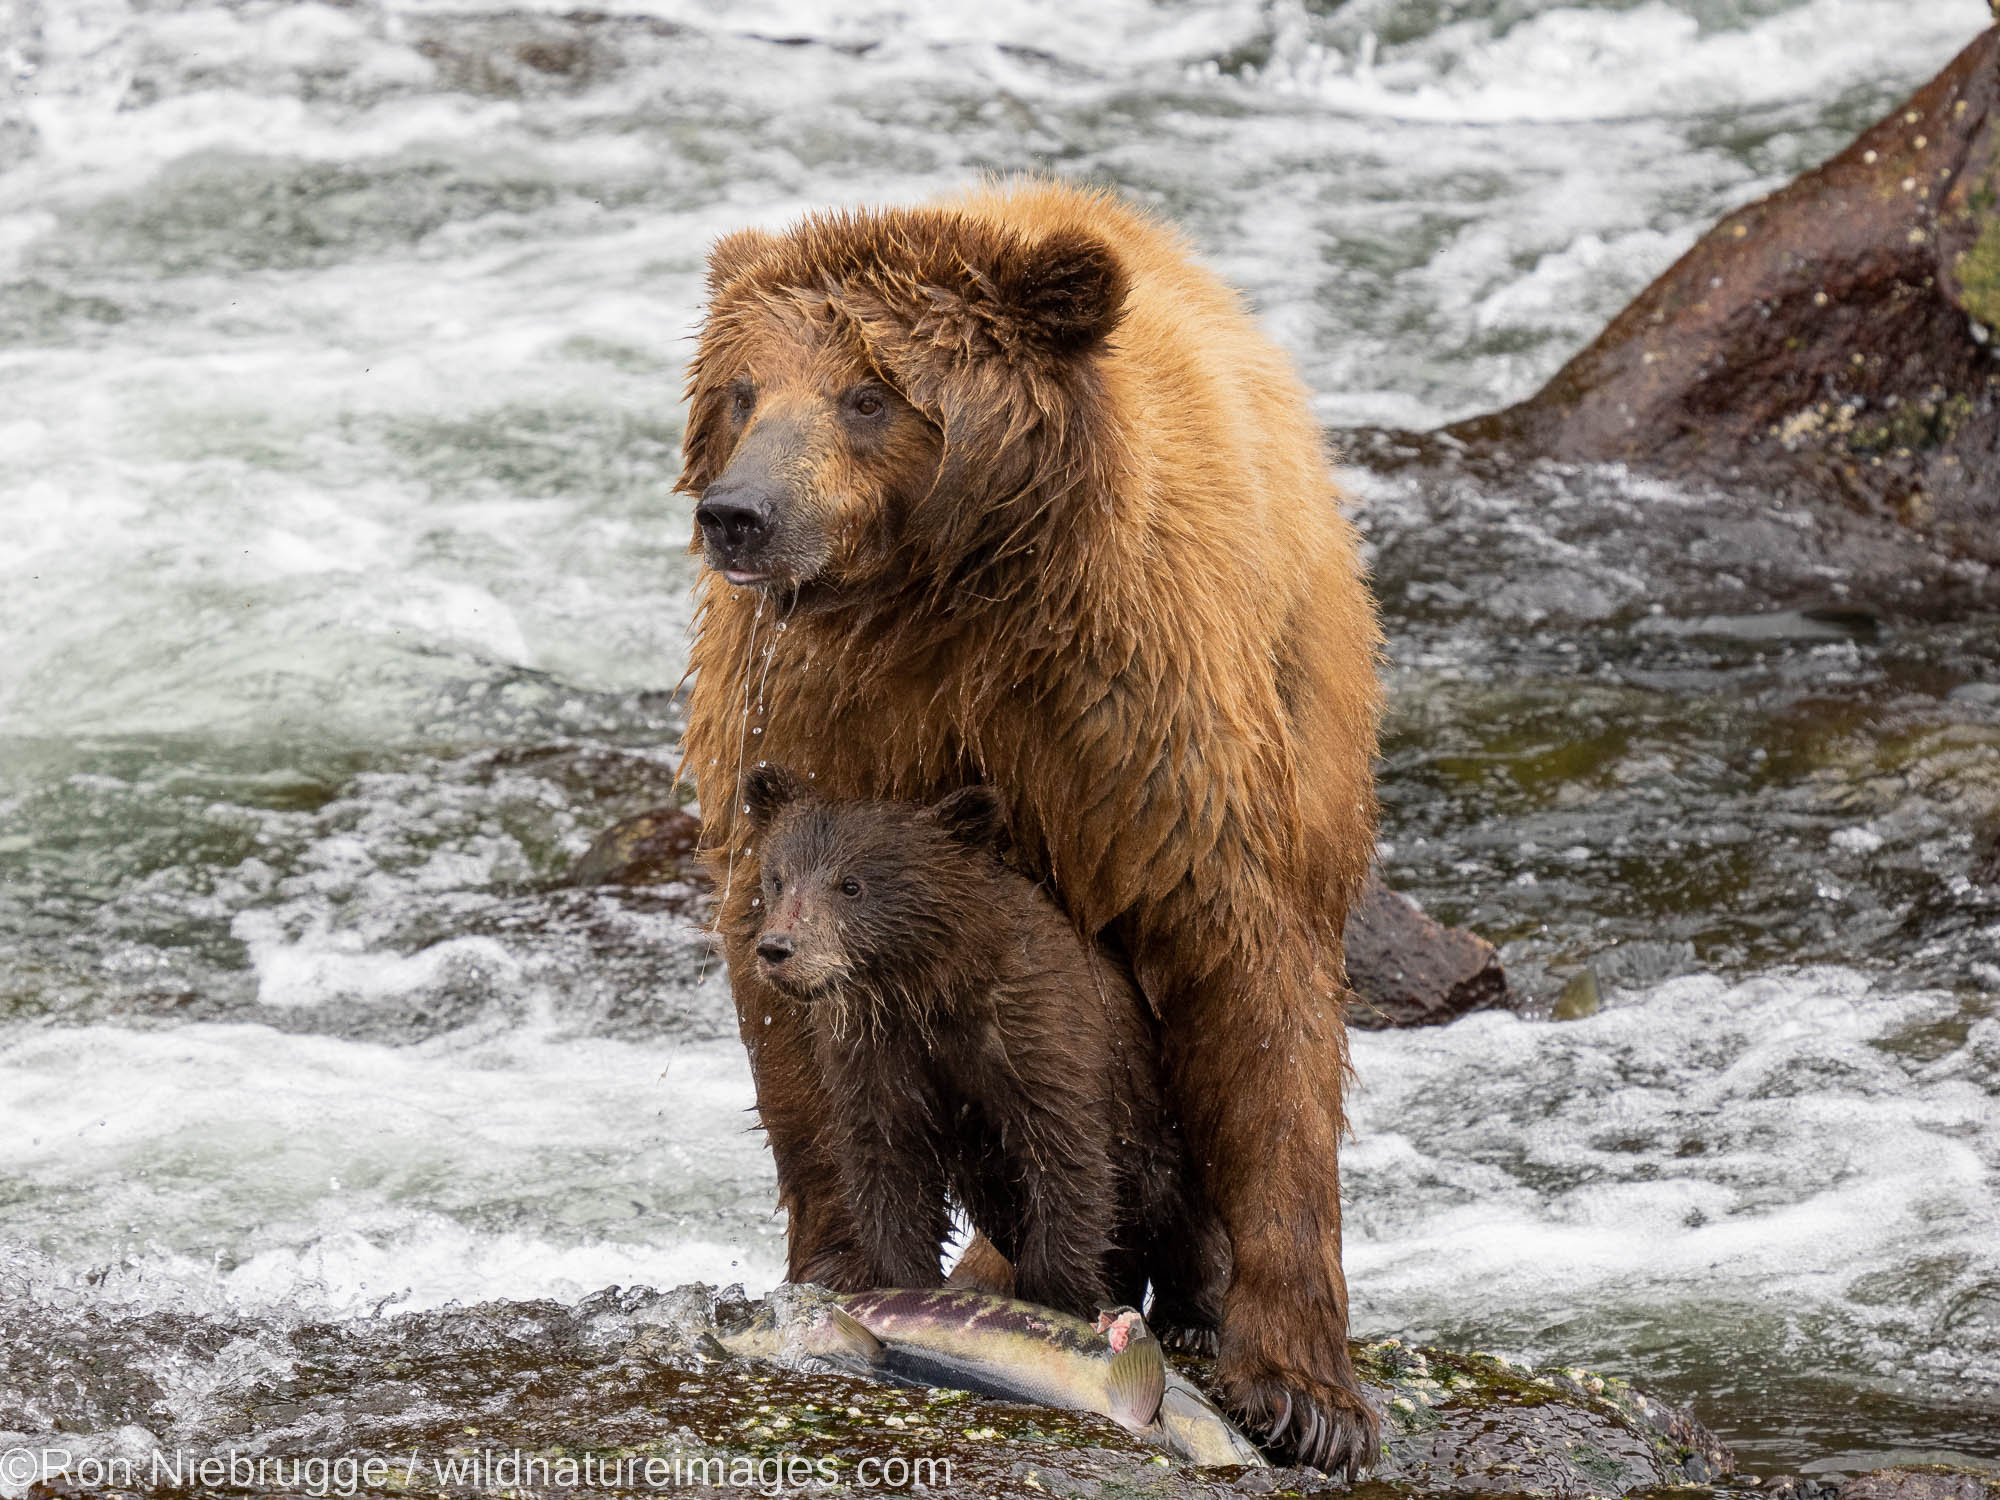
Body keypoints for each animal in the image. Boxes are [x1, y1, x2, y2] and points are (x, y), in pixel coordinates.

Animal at [680, 179, 1384, 1480]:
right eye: (744, 389)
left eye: (868, 392)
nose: (739, 515)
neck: (939, 600)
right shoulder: (808, 707)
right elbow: (804, 1018)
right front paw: (843, 1267)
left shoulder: (1139, 712)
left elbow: (1246, 970)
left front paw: (1306, 1396)